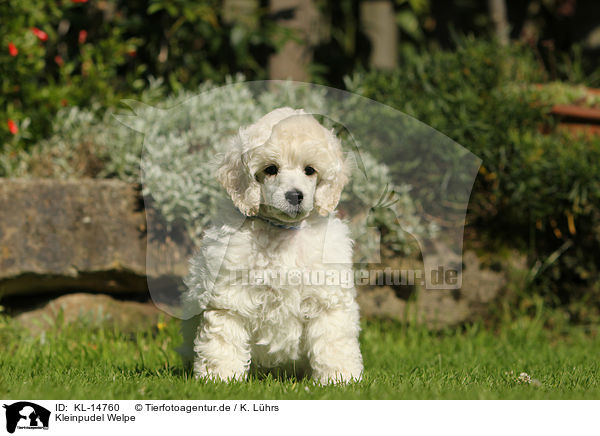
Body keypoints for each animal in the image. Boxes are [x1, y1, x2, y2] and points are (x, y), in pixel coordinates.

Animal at [178, 107, 364, 384]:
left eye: (310, 170)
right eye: (271, 169)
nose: (295, 195)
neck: (282, 232)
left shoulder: (327, 298)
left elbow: (334, 342)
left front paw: (340, 379)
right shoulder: (230, 295)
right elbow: (223, 339)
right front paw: (220, 378)